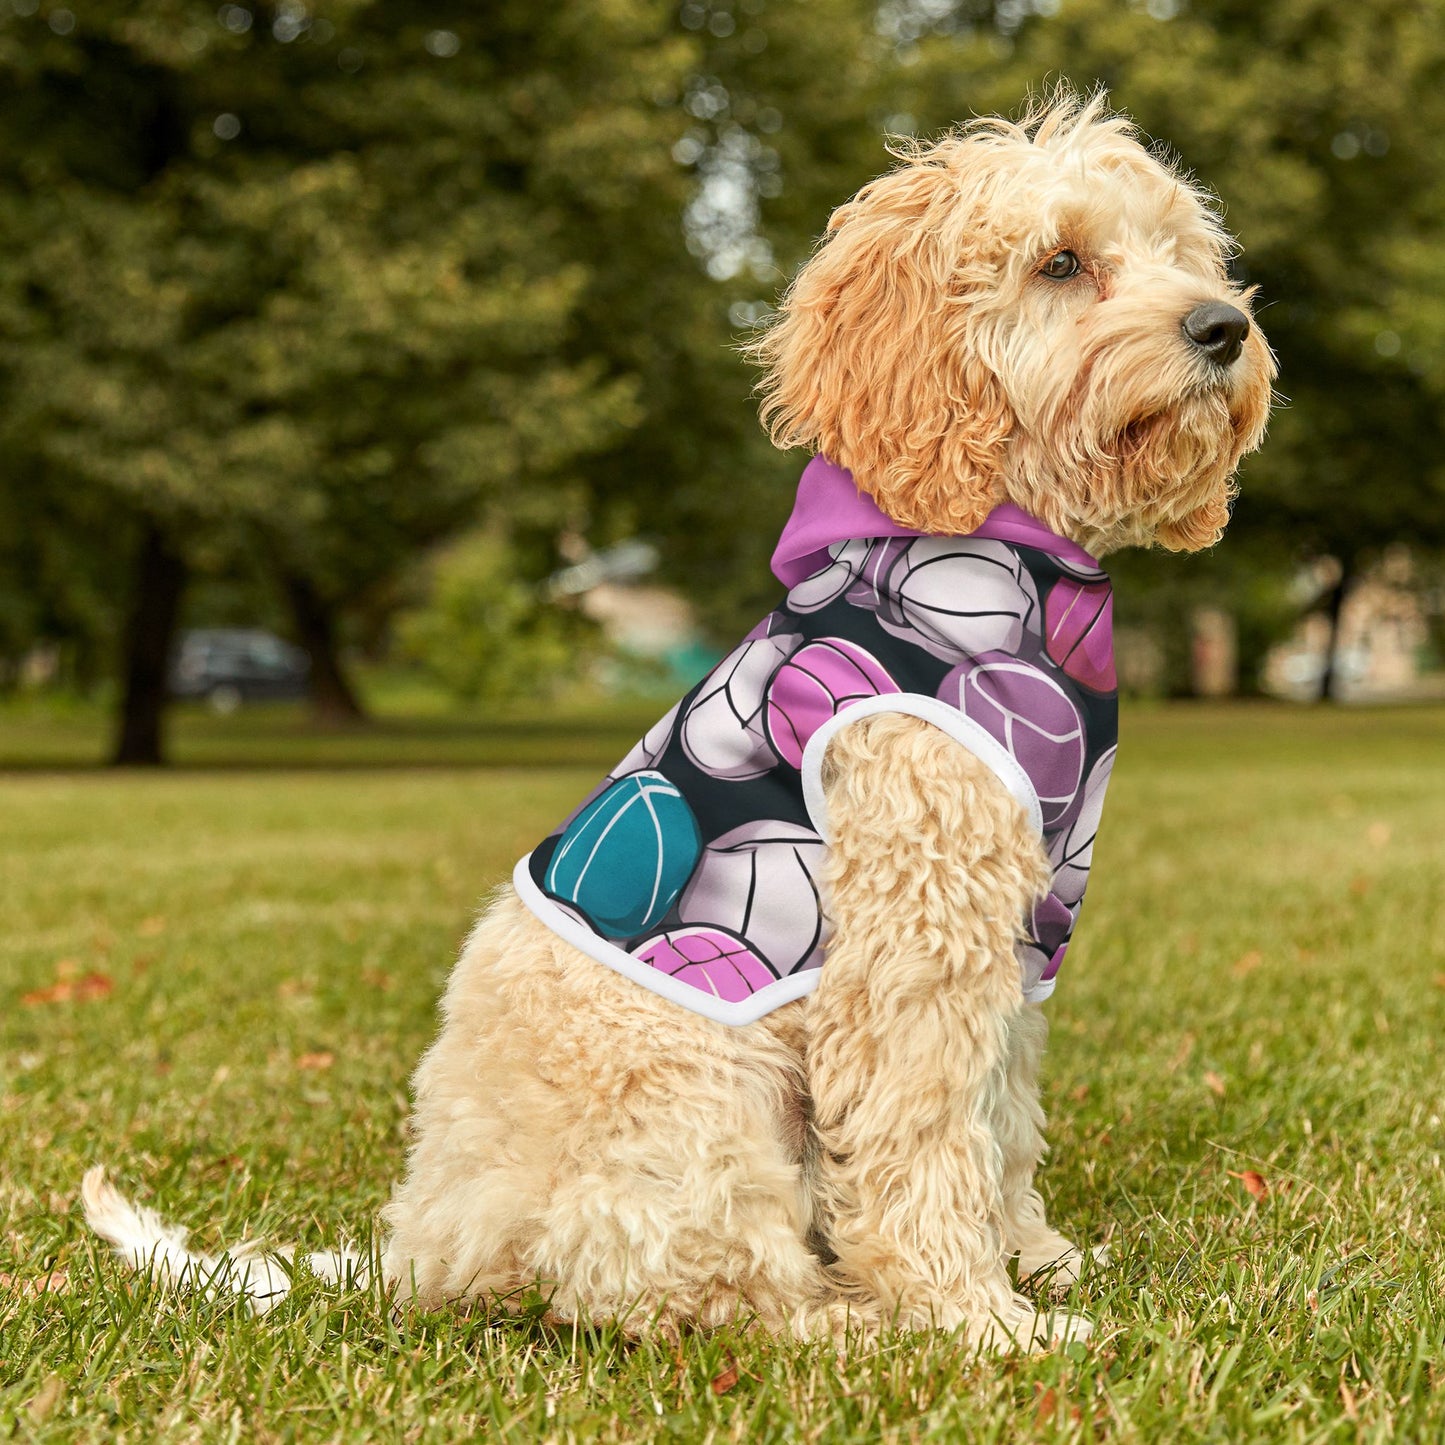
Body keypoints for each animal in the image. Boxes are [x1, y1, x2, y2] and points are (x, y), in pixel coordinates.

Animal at [84, 93, 1271, 1352]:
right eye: (1060, 262)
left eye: (1181, 253)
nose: (1222, 327)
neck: (1009, 554)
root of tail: (424, 1247)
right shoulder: (911, 943)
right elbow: (923, 1137)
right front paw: (976, 1318)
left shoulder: (1016, 936)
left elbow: (998, 1120)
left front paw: (1034, 1260)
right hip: (700, 1100)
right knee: (699, 1291)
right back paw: (851, 1322)